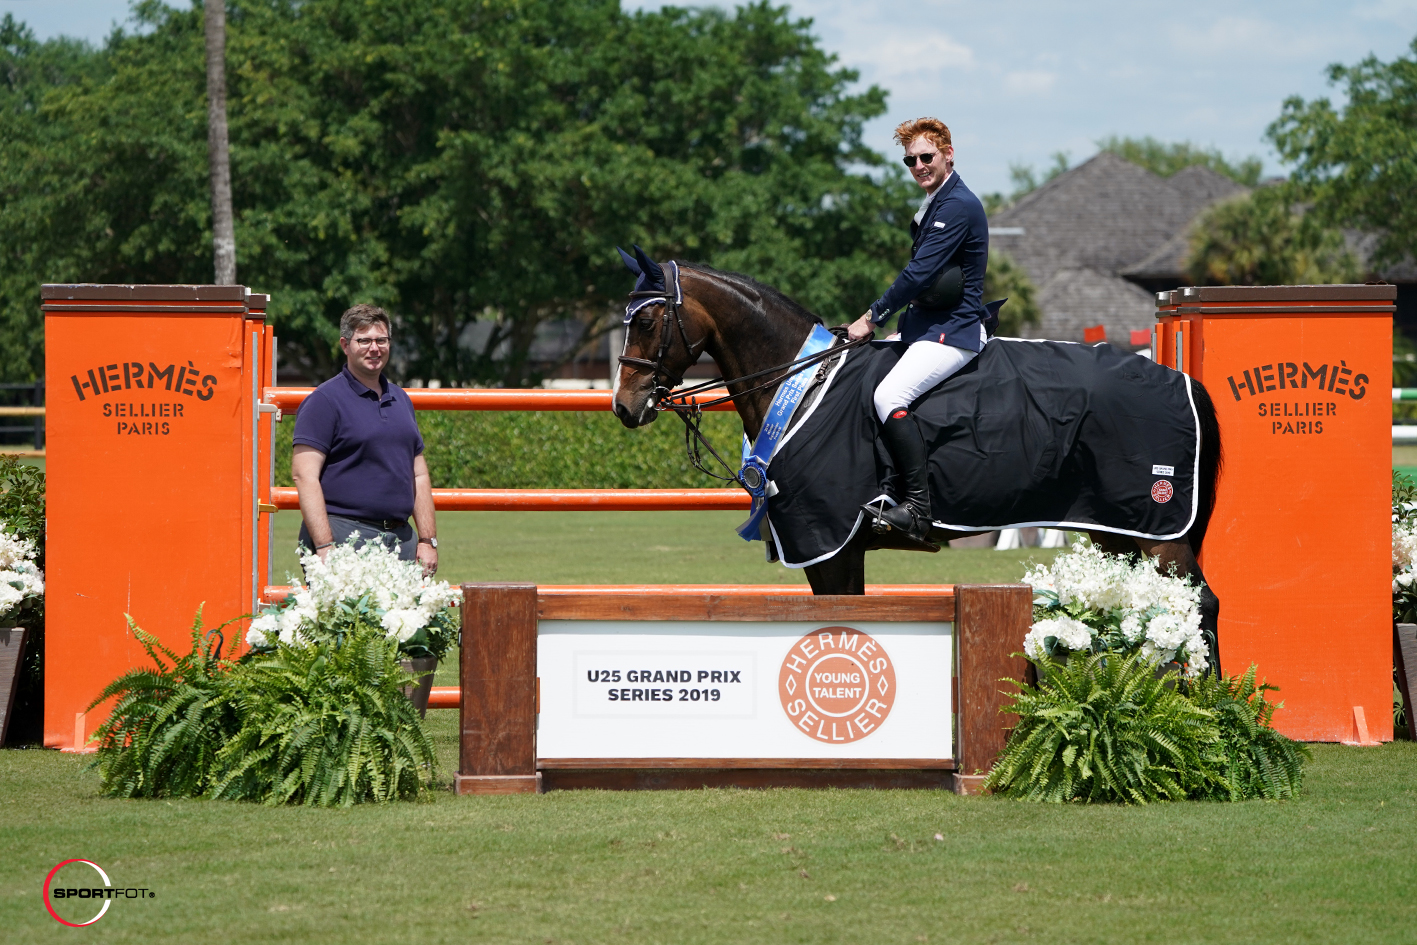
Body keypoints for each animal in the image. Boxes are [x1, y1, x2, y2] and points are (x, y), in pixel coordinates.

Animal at [609, 262, 1218, 668]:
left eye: (648, 321)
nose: (624, 406)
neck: (800, 383)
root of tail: (1183, 381)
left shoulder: (828, 541)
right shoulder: (841, 550)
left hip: (1157, 529)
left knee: (1198, 602)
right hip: (1118, 528)